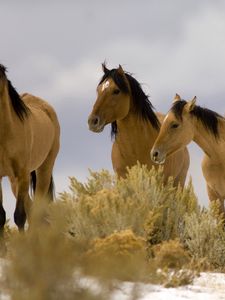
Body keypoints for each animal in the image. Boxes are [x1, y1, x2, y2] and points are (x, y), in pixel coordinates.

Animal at [0, 64, 59, 233]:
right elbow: (1, 216)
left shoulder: (23, 174)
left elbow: (19, 216)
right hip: (14, 180)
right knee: (33, 210)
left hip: (43, 170)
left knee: (37, 211)